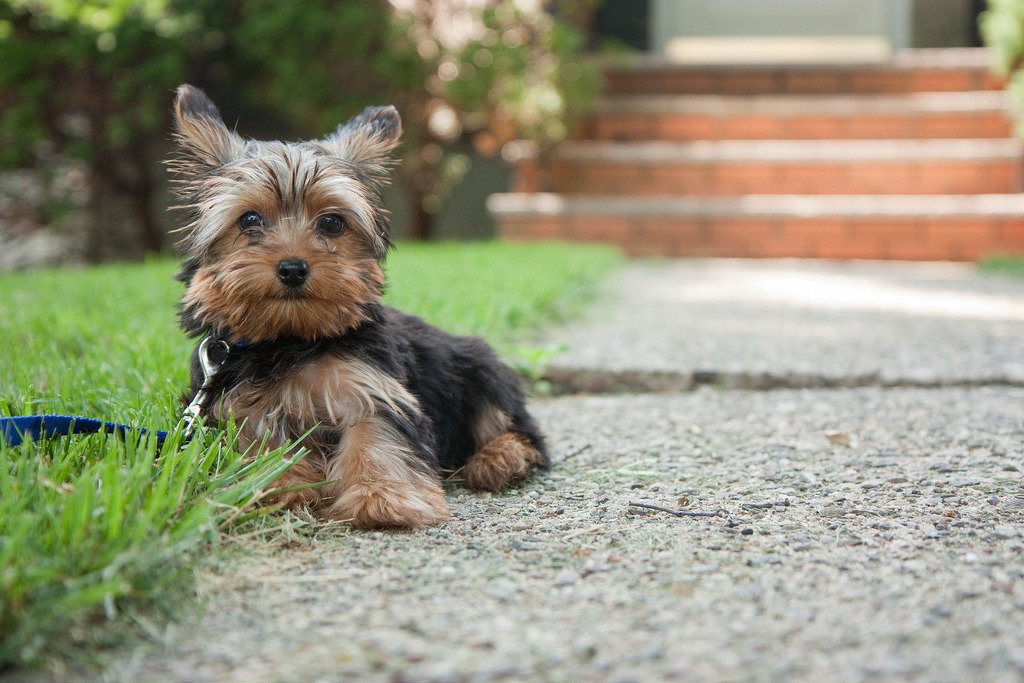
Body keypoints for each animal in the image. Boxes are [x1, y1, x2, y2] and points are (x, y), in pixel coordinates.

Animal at [172, 83, 548, 528]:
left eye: (332, 222)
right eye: (249, 220)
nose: (293, 267)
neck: (292, 339)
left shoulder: (372, 385)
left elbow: (375, 434)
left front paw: (381, 497)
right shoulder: (236, 404)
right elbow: (260, 443)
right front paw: (276, 488)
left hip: (478, 368)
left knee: (516, 427)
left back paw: (499, 457)